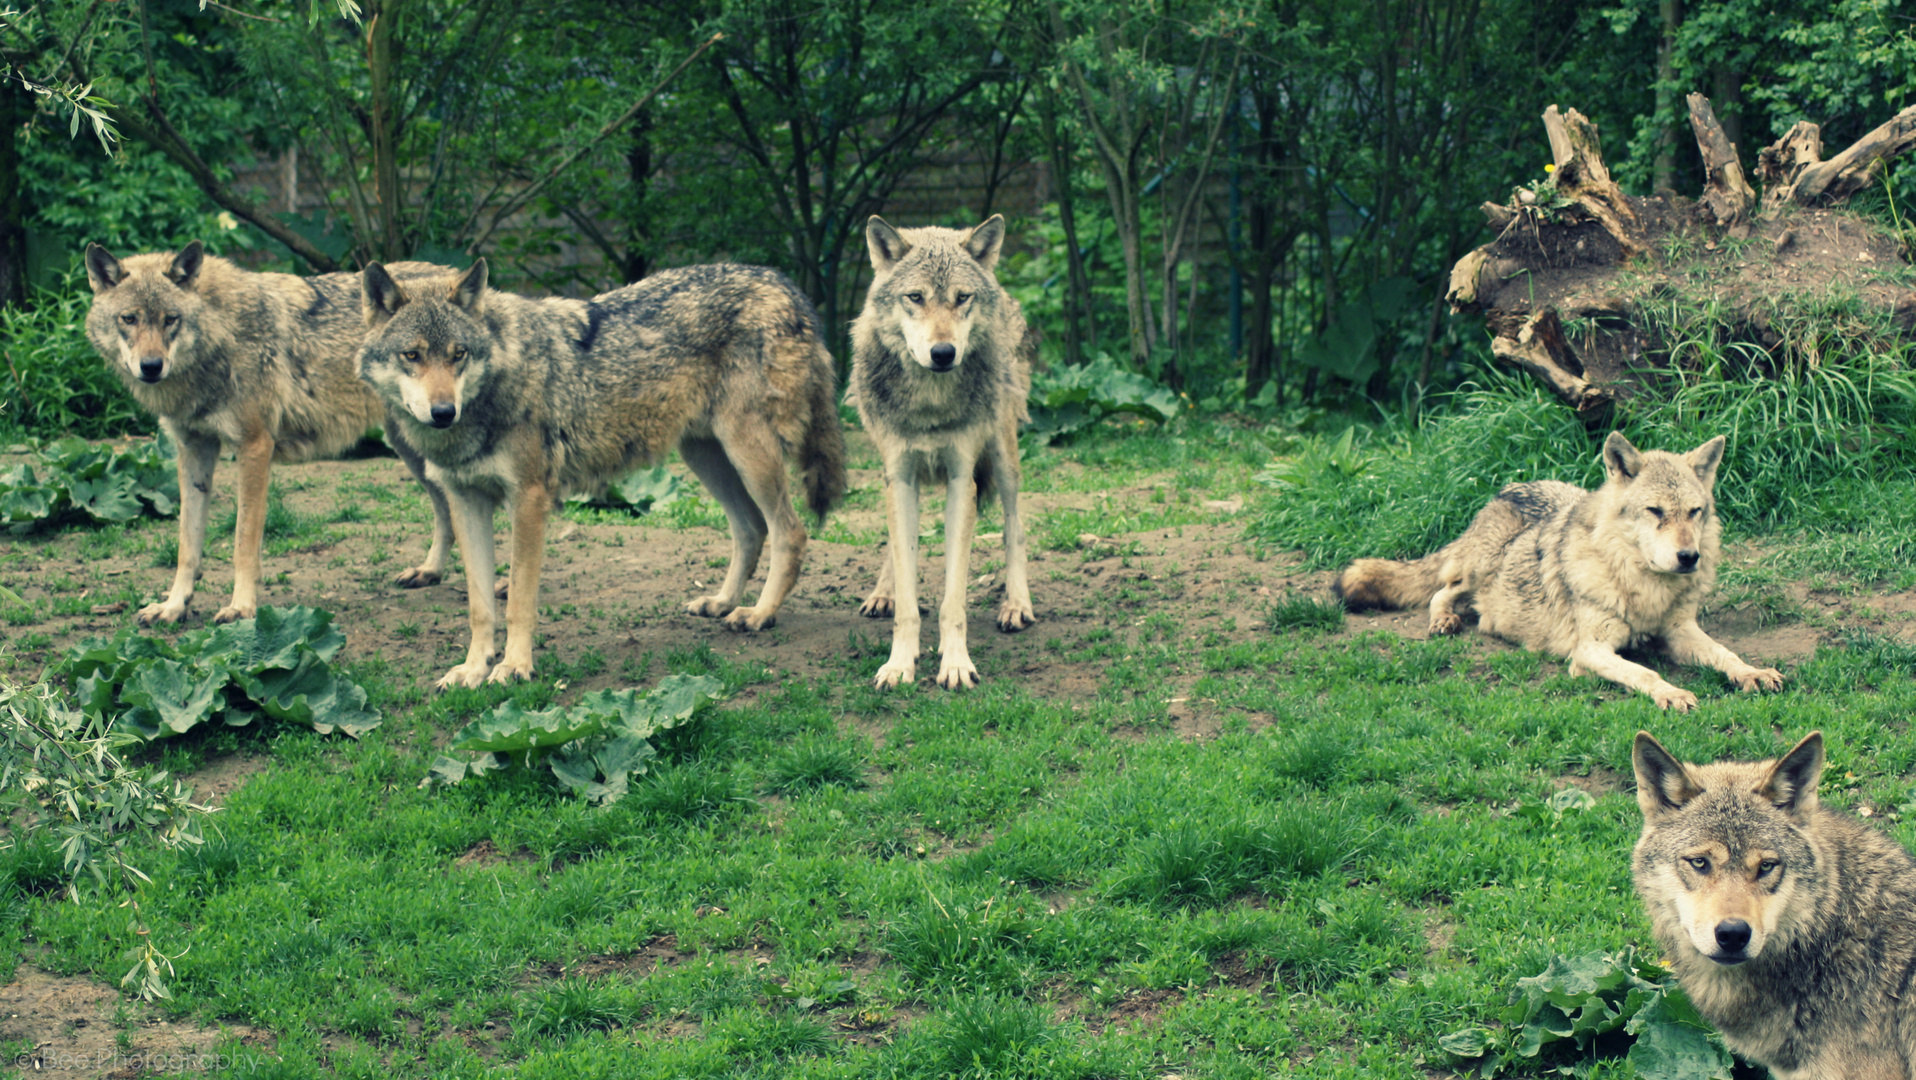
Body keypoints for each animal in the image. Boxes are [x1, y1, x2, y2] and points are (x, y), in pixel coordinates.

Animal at [87, 238, 456, 624]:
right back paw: (430, 572)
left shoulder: (254, 446)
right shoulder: (192, 450)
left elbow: (243, 541)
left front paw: (241, 607)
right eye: (129, 319)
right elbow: (187, 546)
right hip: (413, 449)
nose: (151, 366)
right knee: (446, 512)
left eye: (170, 320)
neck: (221, 336)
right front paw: (174, 606)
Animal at [360, 256, 846, 689]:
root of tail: (784, 283)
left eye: (458, 354)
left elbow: (517, 599)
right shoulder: (465, 501)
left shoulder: (529, 499)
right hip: (705, 456)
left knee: (790, 531)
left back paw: (760, 614)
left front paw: (514, 667)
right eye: (412, 355)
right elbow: (480, 607)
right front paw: (472, 670)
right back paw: (723, 602)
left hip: (747, 453)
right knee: (750, 529)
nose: (443, 412)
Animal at [850, 216, 1034, 693]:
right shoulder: (900, 476)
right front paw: (899, 664)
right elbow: (907, 590)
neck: (930, 402)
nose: (943, 353)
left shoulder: (960, 480)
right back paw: (882, 592)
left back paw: (1017, 604)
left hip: (1004, 458)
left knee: (1014, 527)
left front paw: (954, 664)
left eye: (962, 298)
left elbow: (954, 599)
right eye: (915, 297)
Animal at [1333, 430, 1778, 708]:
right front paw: (1671, 693)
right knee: (1443, 591)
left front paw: (1751, 672)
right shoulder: (1590, 651)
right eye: (1655, 511)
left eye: (1694, 512)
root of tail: (1506, 490)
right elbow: (1644, 673)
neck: (1644, 590)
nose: (1689, 557)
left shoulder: (1681, 631)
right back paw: (1444, 621)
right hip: (1480, 568)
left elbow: (1725, 654)